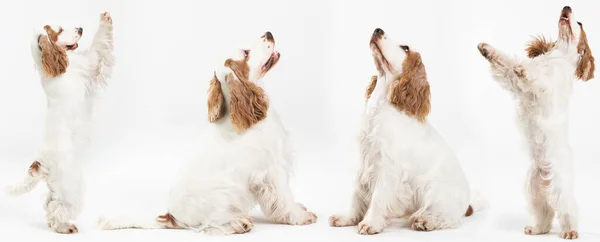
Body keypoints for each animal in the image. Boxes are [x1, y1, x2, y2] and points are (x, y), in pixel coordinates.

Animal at [4, 12, 115, 233]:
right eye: (61, 30)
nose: (80, 28)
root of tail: (39, 161)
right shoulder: (89, 63)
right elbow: (98, 43)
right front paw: (104, 19)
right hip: (70, 183)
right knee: (59, 208)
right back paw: (65, 227)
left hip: (55, 185)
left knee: (49, 204)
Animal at [97, 31, 318, 235]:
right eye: (246, 53)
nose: (268, 33)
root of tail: (170, 216)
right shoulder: (272, 171)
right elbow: (284, 198)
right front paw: (301, 217)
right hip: (223, 194)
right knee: (211, 224)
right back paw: (238, 223)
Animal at [328, 27, 478, 234]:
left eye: (405, 48)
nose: (378, 29)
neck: (382, 103)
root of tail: (467, 203)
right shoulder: (365, 161)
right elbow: (357, 193)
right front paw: (347, 217)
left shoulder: (388, 166)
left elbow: (378, 197)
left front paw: (370, 223)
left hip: (435, 190)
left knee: (448, 217)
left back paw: (424, 221)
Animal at [478, 5, 596, 240]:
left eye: (579, 24)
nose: (567, 6)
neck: (557, 56)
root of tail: (545, 178)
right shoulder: (513, 81)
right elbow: (506, 64)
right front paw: (486, 49)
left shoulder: (547, 87)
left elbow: (534, 76)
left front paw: (524, 69)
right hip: (533, 193)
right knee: (545, 216)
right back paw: (536, 228)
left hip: (561, 189)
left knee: (568, 211)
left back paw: (571, 231)